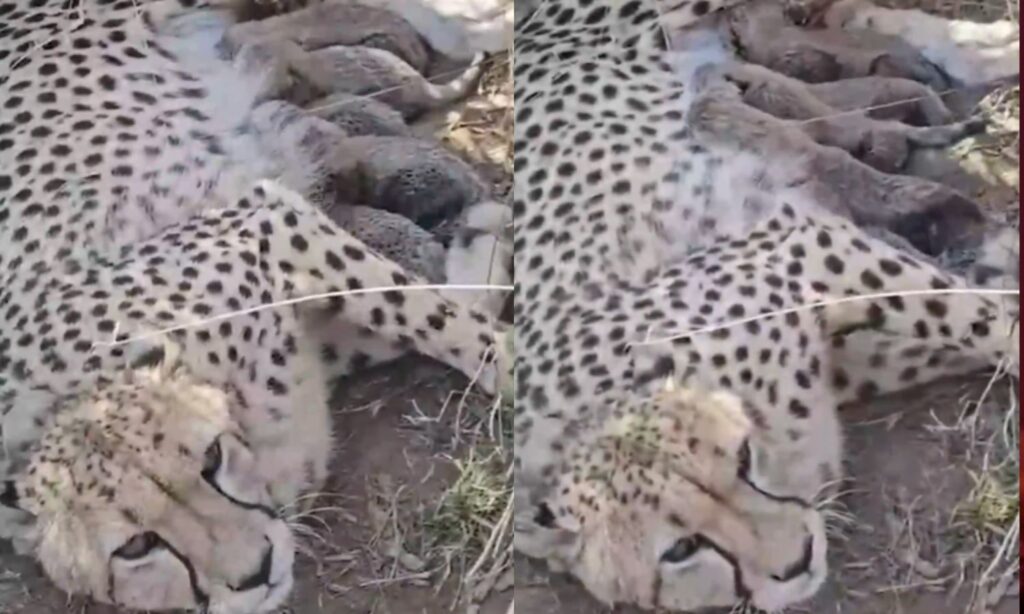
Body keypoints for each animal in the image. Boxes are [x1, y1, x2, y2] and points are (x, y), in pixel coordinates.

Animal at [0, 0, 506, 611]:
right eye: (135, 546)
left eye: (210, 460)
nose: (257, 571)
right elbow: (423, 303)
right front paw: (481, 255)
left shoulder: (266, 220)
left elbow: (423, 311)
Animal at [511, 0, 1019, 611]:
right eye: (681, 549)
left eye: (741, 460)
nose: (797, 561)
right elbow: (965, 314)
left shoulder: (810, 246)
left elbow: (973, 313)